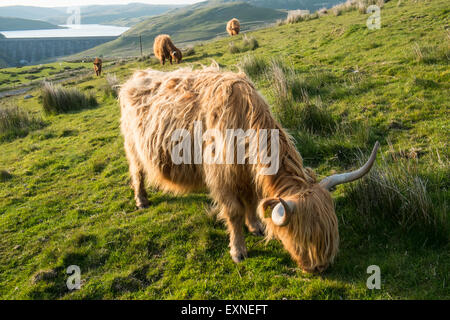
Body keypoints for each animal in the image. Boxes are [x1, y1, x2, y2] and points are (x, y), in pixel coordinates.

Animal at [118, 65, 378, 272]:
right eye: (303, 237)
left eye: (331, 230)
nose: (320, 267)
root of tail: (136, 76)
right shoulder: (221, 178)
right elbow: (233, 212)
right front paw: (238, 251)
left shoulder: (249, 176)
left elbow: (252, 202)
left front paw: (256, 227)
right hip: (132, 146)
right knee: (137, 172)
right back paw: (141, 200)